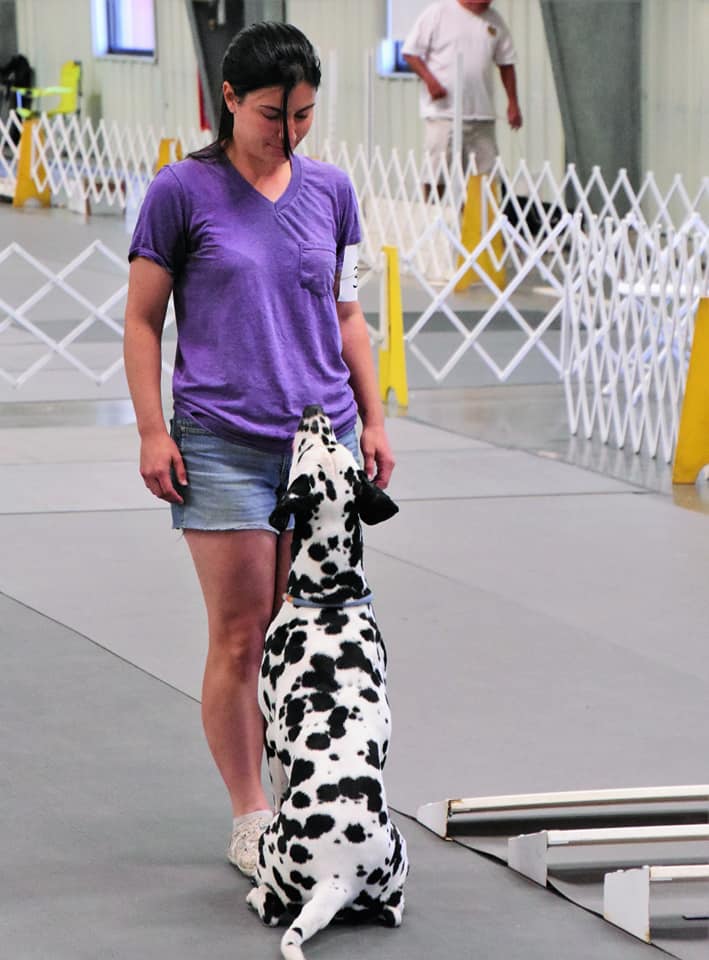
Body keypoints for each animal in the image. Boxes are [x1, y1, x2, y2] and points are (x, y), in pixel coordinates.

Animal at [246, 404, 406, 960]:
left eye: (317, 444)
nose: (313, 412)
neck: (329, 598)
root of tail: (338, 877)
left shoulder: (271, 739)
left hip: (270, 850)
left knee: (273, 907)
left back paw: (255, 895)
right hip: (400, 858)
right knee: (393, 911)